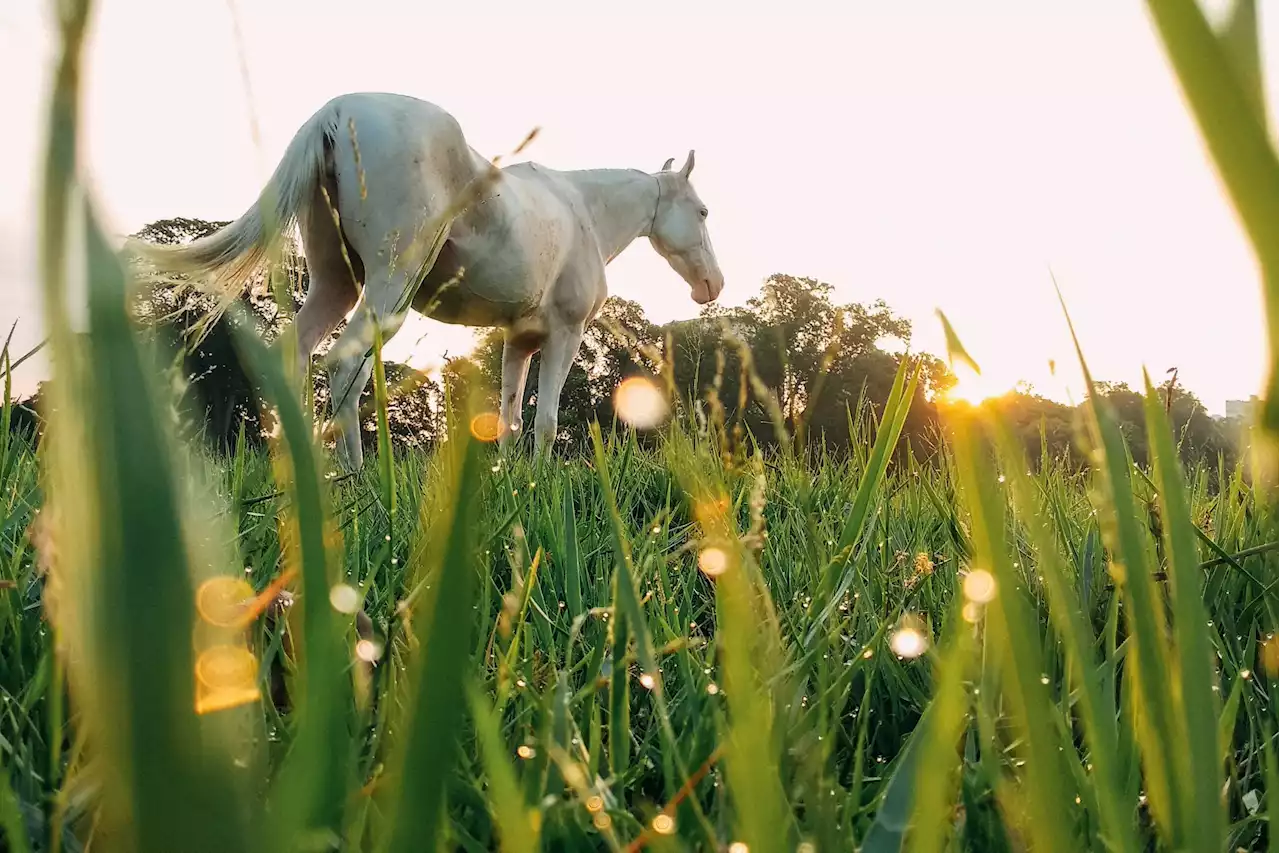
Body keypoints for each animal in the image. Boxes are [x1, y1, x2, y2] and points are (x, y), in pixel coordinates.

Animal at [133, 89, 727, 468]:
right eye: (702, 211)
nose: (712, 286)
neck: (581, 210)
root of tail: (335, 111)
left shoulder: (520, 341)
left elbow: (511, 417)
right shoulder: (565, 332)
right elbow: (546, 420)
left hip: (336, 284)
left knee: (296, 357)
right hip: (388, 287)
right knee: (344, 364)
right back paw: (358, 478)